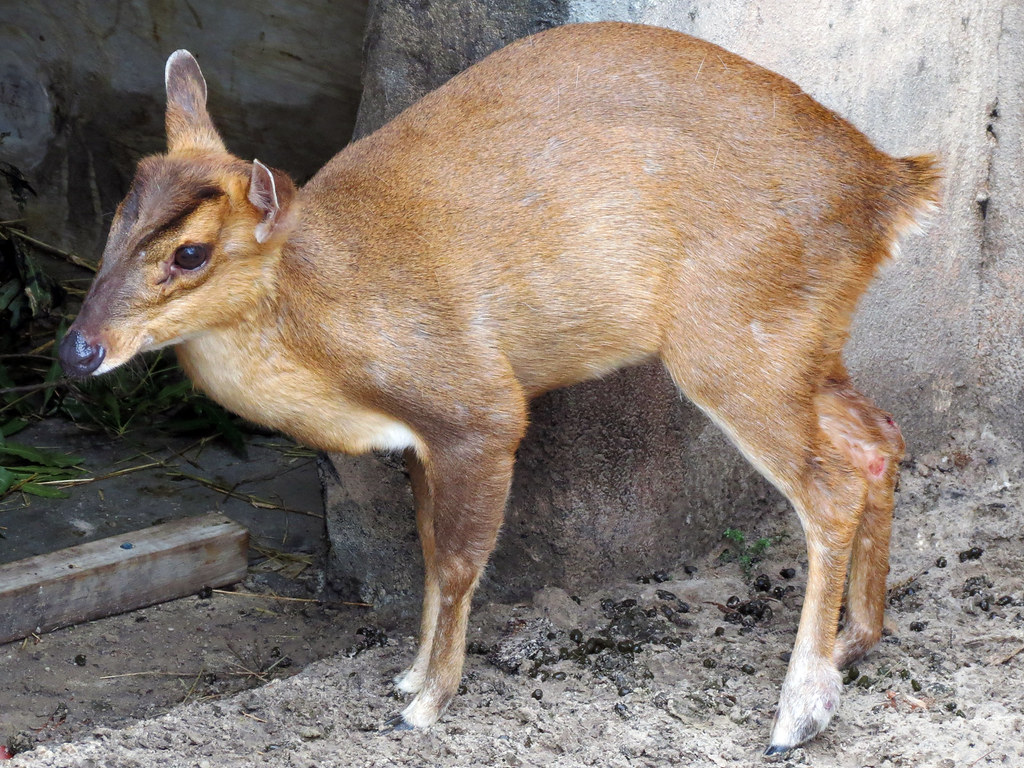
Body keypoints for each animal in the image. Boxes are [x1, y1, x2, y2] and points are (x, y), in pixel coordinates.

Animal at [58, 22, 939, 753]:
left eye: (191, 253)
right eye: (115, 219)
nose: (77, 348)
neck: (327, 322)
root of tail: (890, 189)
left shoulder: (477, 407)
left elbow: (457, 559)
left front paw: (424, 705)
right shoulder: (421, 443)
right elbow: (425, 550)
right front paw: (410, 676)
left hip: (737, 342)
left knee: (829, 486)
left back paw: (798, 715)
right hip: (802, 343)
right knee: (878, 436)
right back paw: (857, 639)